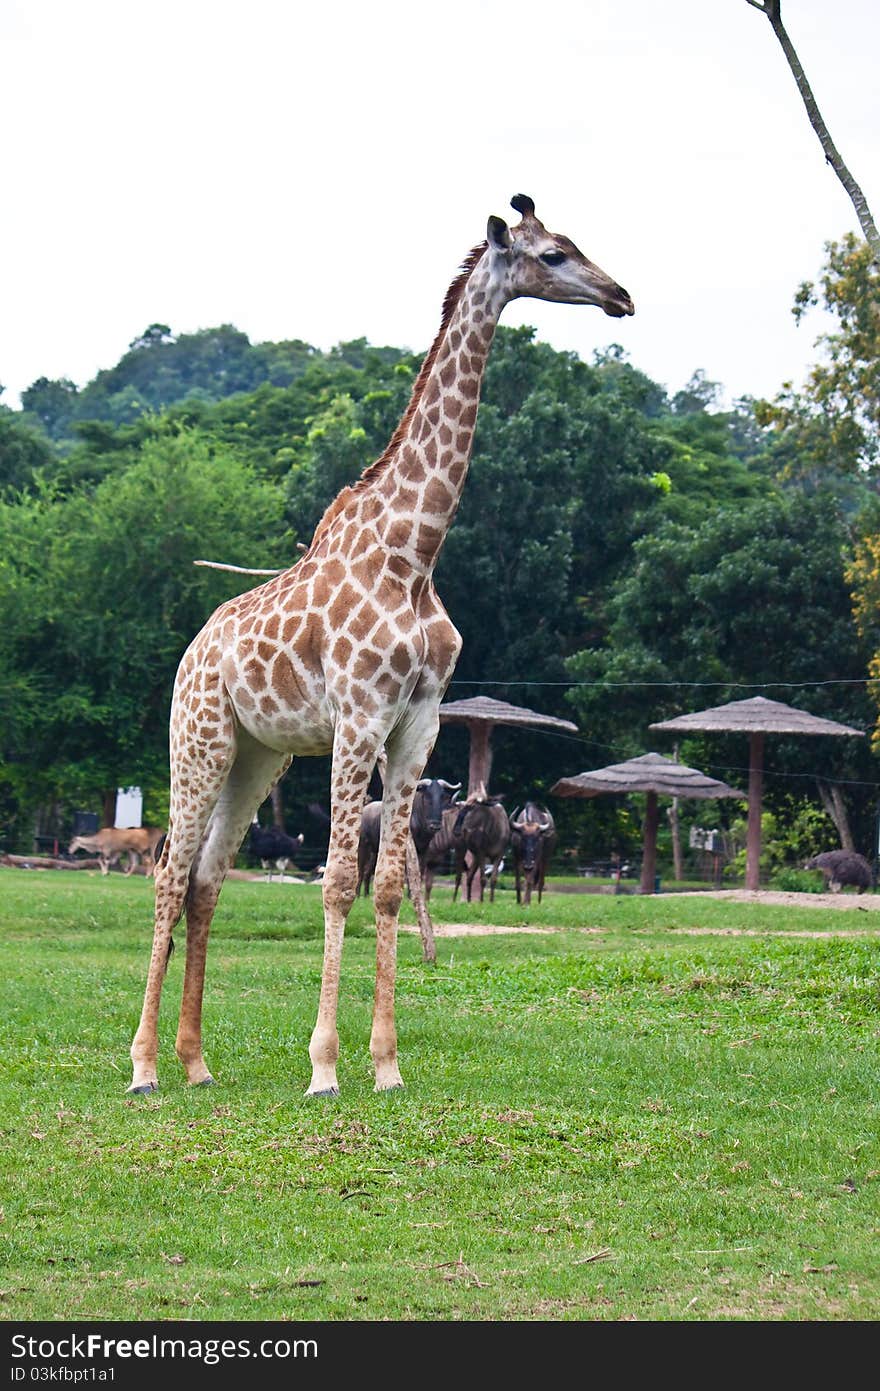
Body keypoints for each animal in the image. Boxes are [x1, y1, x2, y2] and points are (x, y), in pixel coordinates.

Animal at [128, 196, 631, 1096]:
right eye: (552, 253)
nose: (620, 295)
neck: (415, 550)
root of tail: (191, 651)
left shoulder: (419, 720)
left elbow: (392, 885)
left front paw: (387, 1064)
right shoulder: (360, 714)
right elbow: (335, 882)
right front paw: (325, 1067)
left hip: (258, 755)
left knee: (206, 880)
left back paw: (196, 1062)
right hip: (200, 739)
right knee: (166, 873)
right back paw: (145, 1064)